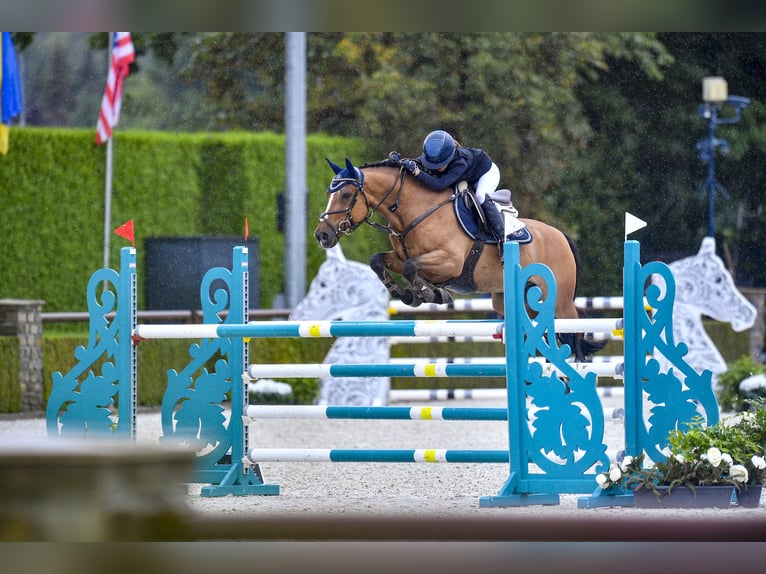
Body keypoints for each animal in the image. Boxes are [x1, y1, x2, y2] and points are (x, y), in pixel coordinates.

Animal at [316, 155, 604, 358]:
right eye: (329, 193)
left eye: (346, 194)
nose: (322, 235)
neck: (412, 211)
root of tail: (561, 236)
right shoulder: (399, 256)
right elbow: (378, 261)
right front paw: (407, 294)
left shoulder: (449, 262)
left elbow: (411, 267)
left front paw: (430, 293)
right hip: (512, 300)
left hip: (559, 302)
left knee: (573, 333)